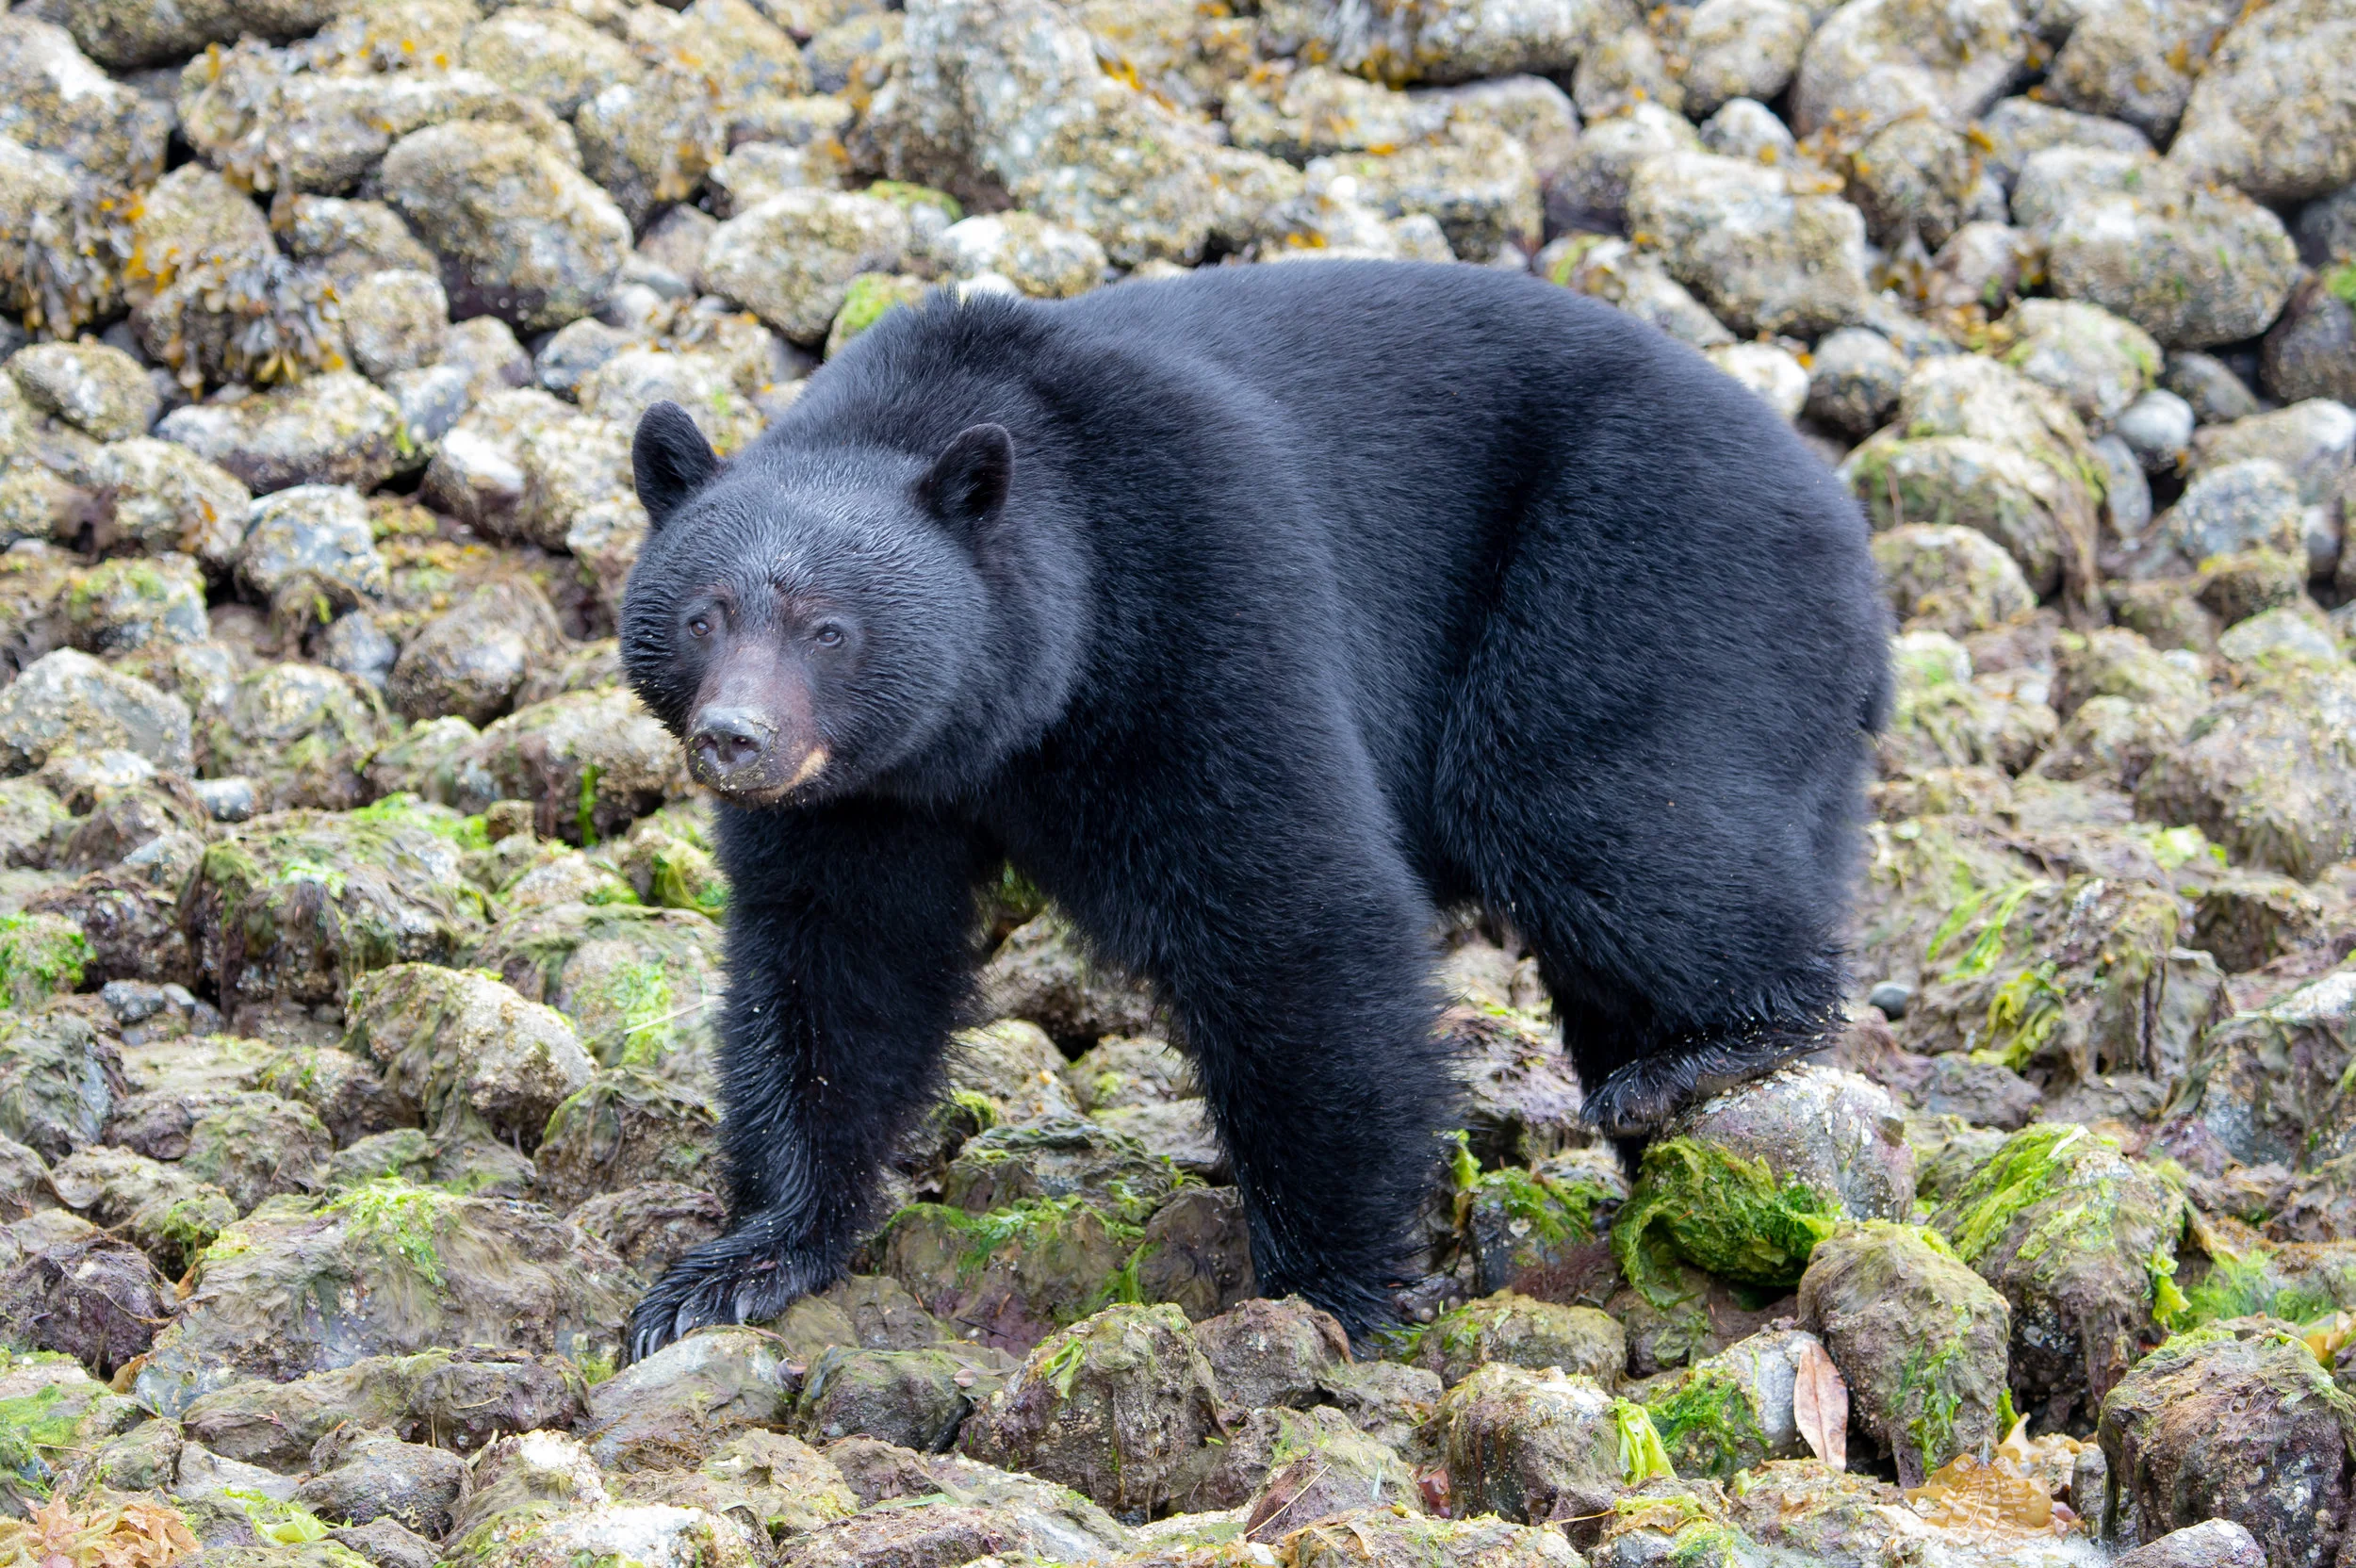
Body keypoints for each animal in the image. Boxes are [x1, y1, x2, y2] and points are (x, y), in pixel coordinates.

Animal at [619, 260, 1891, 1360]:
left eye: (829, 627)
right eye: (700, 614)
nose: (736, 738)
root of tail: (1846, 533)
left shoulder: (1199, 581)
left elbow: (1287, 906)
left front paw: (1329, 1281)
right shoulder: (863, 792)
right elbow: (837, 963)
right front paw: (738, 1264)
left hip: (1646, 560)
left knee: (1585, 801)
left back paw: (1710, 1046)